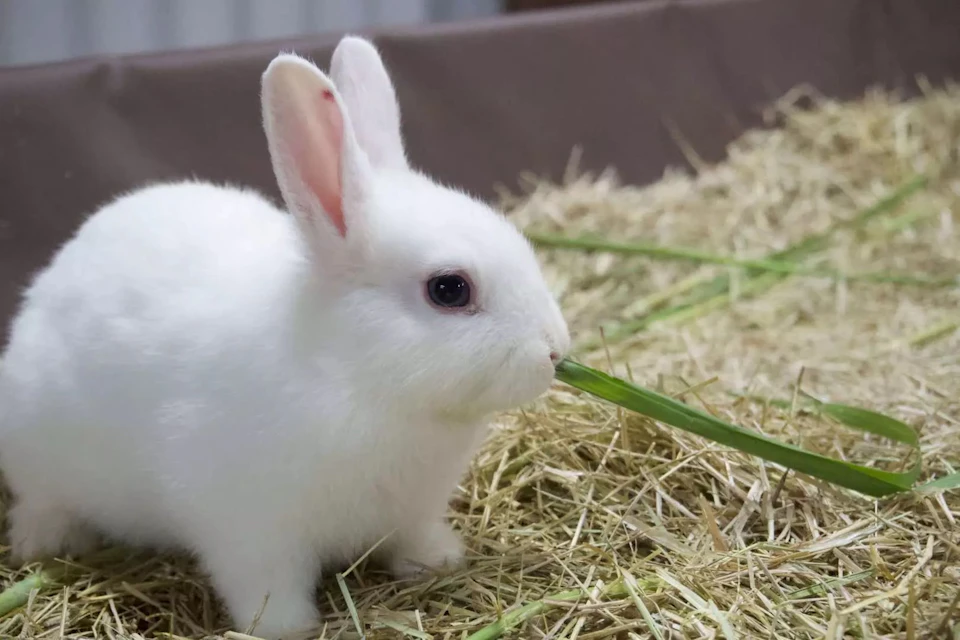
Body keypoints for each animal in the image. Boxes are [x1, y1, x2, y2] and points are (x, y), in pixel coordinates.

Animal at [0, 36, 569, 640]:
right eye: (449, 288)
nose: (556, 350)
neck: (360, 379)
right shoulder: (250, 529)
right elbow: (267, 586)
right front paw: (288, 628)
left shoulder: (413, 510)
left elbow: (414, 539)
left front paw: (440, 561)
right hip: (39, 460)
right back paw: (43, 544)